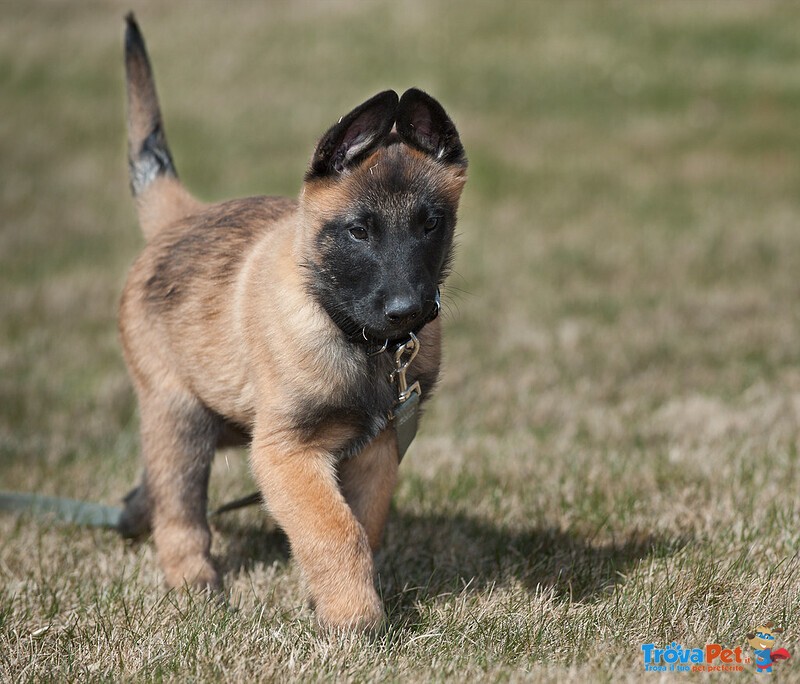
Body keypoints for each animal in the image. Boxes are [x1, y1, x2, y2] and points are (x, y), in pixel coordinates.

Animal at [119, 13, 468, 632]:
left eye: (431, 225)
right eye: (359, 231)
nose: (408, 311)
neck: (356, 339)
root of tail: (182, 217)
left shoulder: (376, 450)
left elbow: (362, 526)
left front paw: (328, 599)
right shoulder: (287, 452)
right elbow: (335, 532)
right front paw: (355, 621)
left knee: (155, 484)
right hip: (180, 416)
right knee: (180, 510)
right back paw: (195, 585)